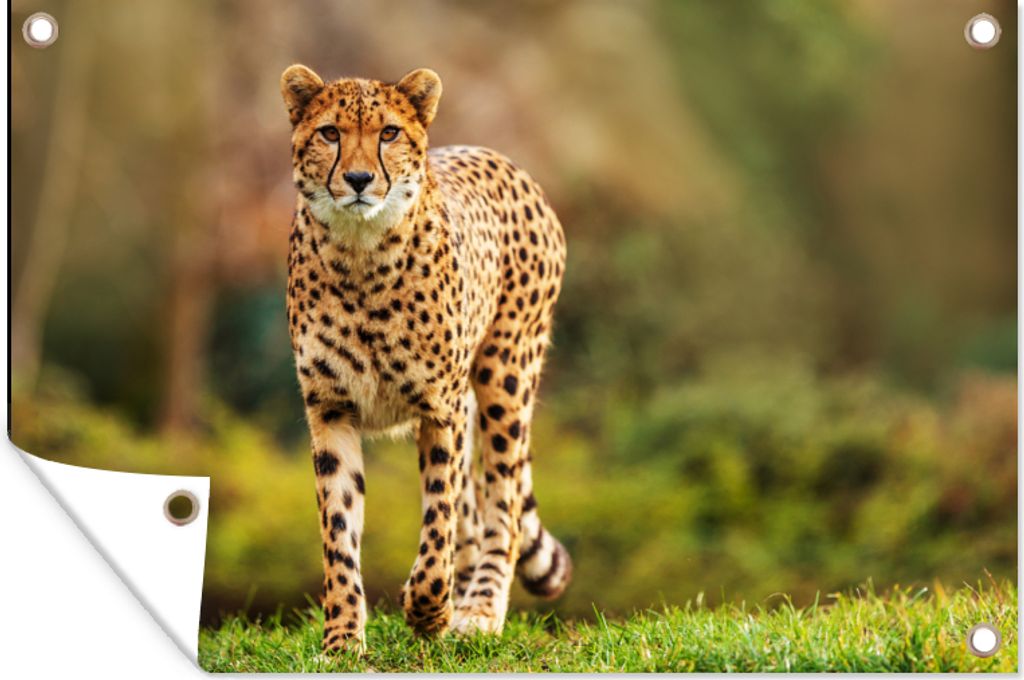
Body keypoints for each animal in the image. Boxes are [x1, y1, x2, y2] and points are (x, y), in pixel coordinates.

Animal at [280, 64, 572, 652]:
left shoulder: (442, 407)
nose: (359, 179)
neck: (361, 253)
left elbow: (439, 518)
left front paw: (427, 609)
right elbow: (338, 529)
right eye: (330, 133)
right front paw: (342, 638)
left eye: (389, 133)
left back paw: (478, 610)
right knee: (476, 513)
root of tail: (501, 158)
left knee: (500, 506)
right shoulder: (330, 409)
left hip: (505, 376)